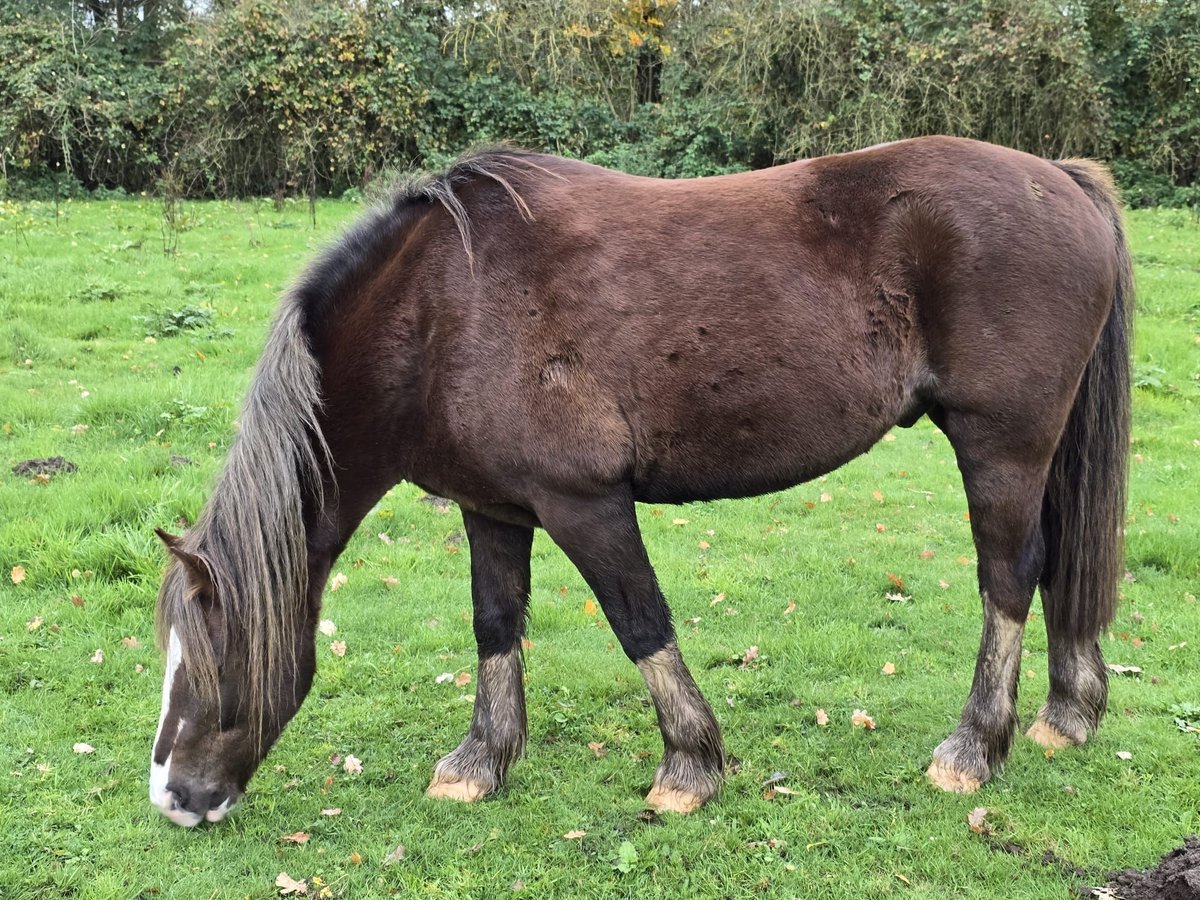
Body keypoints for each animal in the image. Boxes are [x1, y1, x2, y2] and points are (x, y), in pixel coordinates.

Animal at [148, 135, 1132, 827]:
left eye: (212, 662)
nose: (174, 798)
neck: (439, 311)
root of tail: (1060, 178)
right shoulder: (492, 509)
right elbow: (495, 625)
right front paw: (480, 762)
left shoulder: (584, 504)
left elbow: (639, 623)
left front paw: (689, 769)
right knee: (1056, 565)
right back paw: (1069, 714)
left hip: (1000, 445)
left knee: (1009, 576)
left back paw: (973, 748)